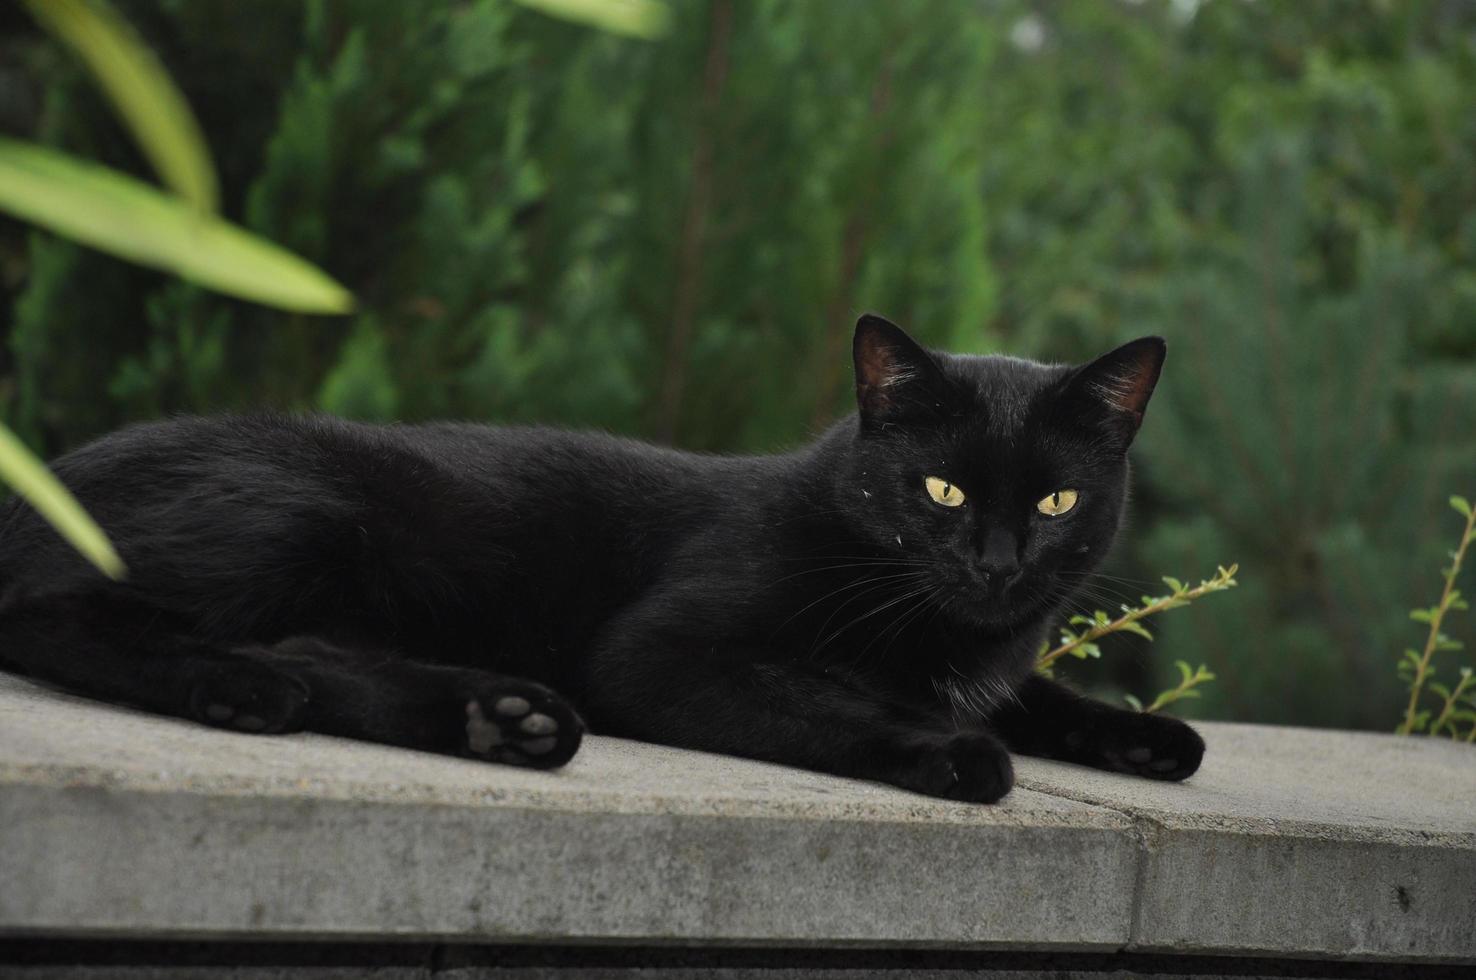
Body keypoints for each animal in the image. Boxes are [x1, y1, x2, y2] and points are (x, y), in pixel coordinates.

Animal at [0, 317, 1198, 802]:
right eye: (940, 489)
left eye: (1056, 500)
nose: (997, 563)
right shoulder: (665, 653)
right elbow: (835, 701)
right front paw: (952, 749)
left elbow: (1037, 693)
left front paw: (1147, 735)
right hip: (298, 508)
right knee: (64, 615)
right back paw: (239, 687)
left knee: (316, 651)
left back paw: (506, 720)